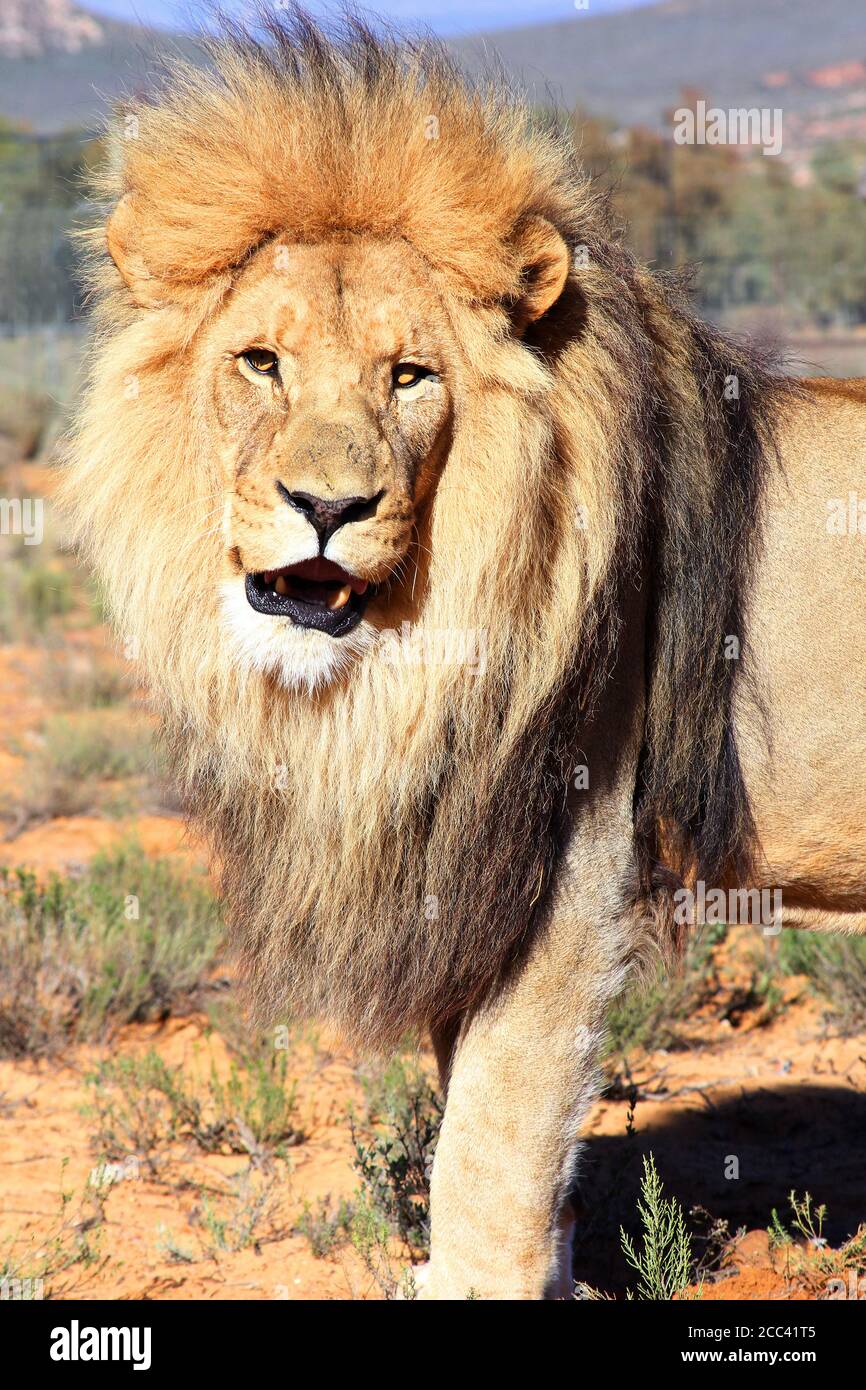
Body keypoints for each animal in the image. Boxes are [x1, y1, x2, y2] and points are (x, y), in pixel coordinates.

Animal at [64, 10, 866, 1295]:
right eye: (259, 362)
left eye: (409, 376)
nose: (326, 506)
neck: (404, 668)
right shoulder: (462, 871)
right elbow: (489, 1129)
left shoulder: (567, 871)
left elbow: (489, 1140)